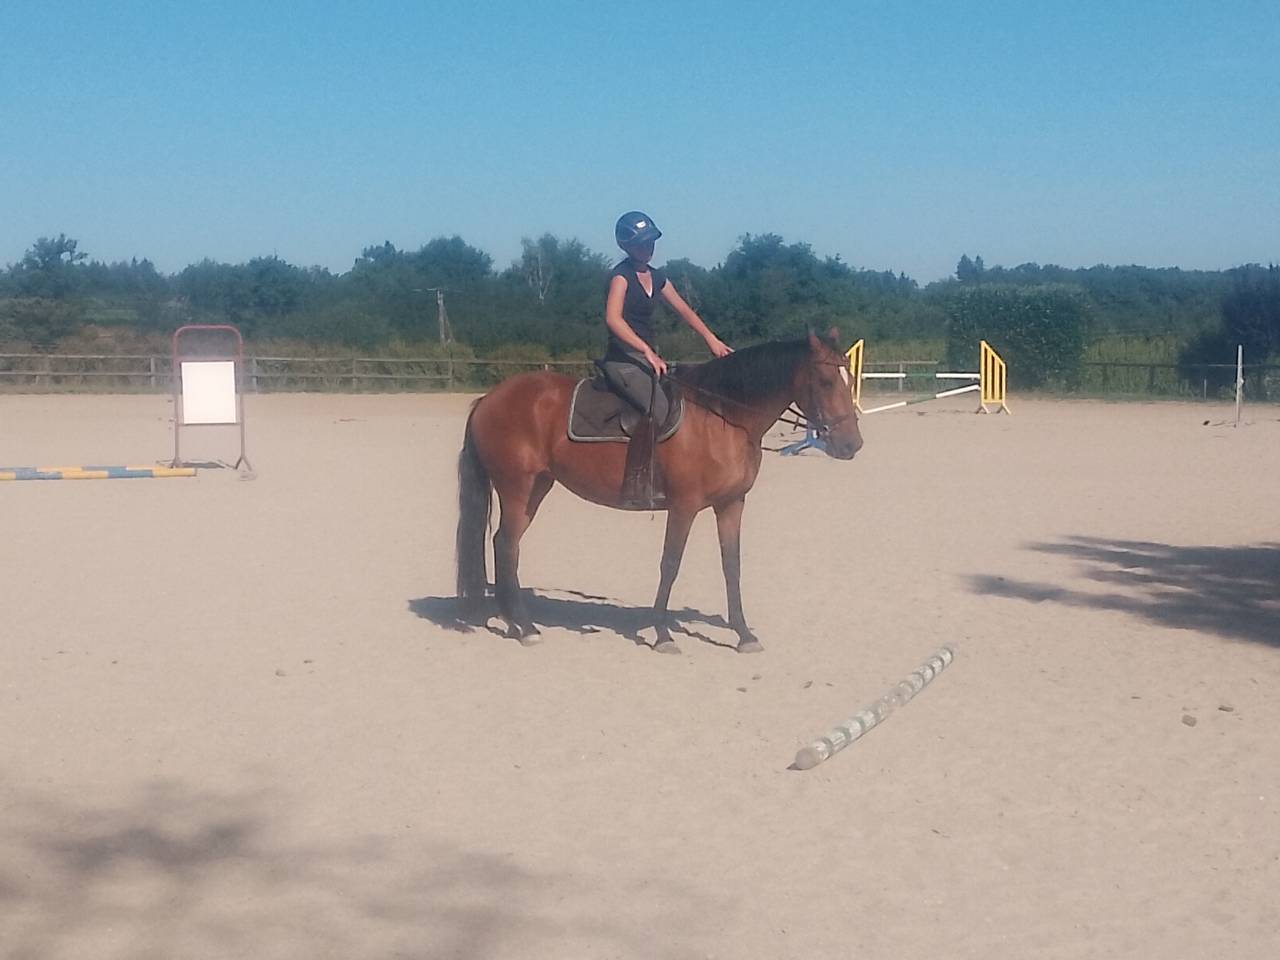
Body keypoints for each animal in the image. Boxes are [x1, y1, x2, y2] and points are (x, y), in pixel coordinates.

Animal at [454, 329, 863, 653]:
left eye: (848, 380)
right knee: (507, 545)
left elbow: (731, 565)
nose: (852, 444)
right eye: (826, 382)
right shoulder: (684, 506)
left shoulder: (731, 503)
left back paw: (513, 621)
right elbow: (671, 564)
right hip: (517, 487)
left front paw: (743, 633)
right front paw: (663, 633)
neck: (721, 417)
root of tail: (489, 398)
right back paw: (524, 627)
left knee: (504, 544)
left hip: (536, 486)